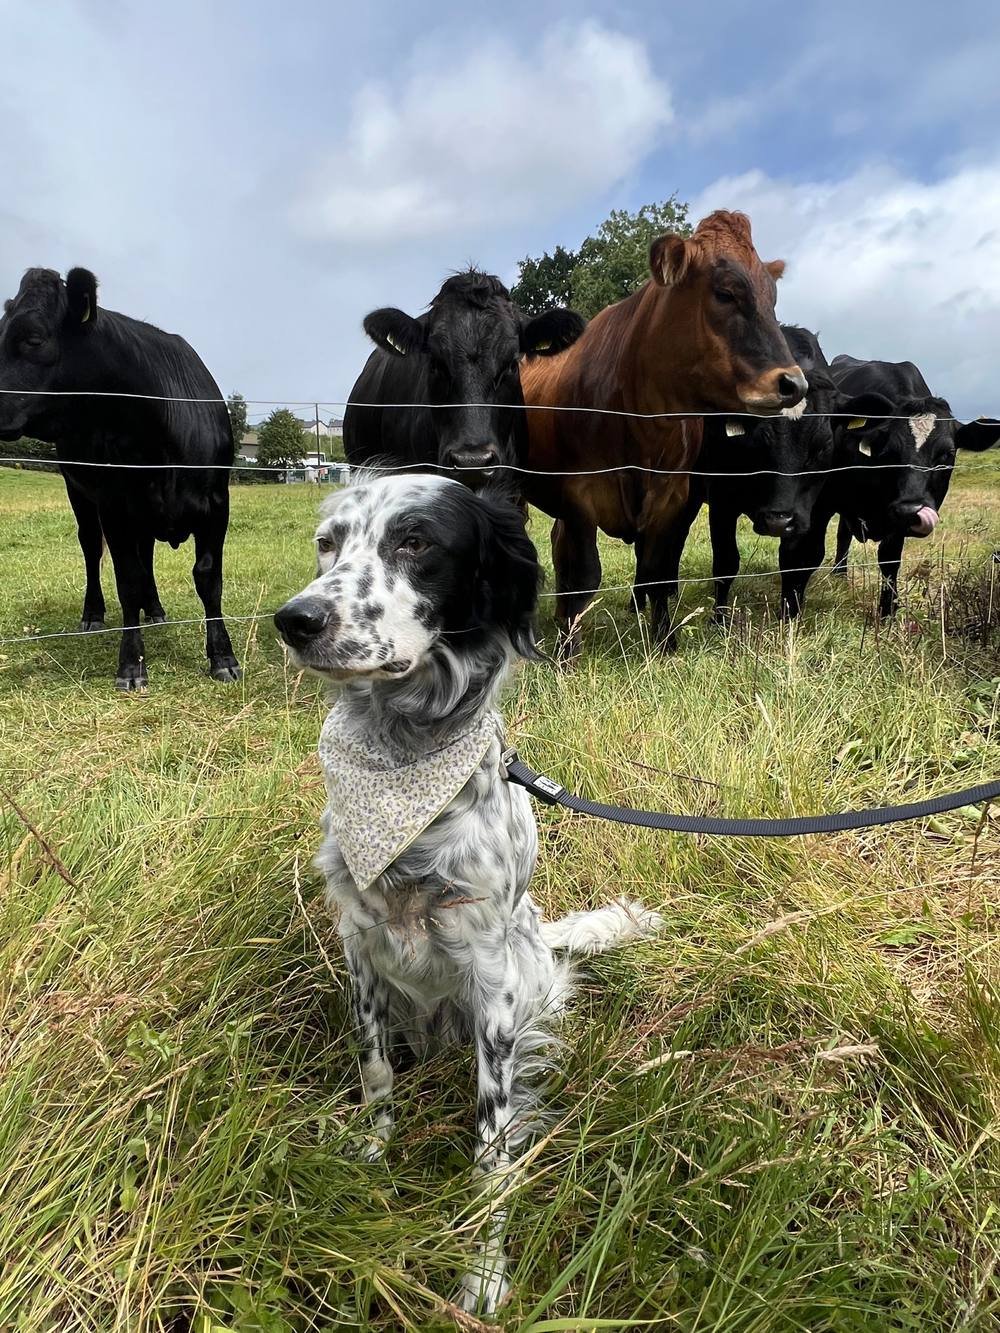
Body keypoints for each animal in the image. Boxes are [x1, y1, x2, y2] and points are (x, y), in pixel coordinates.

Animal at [0, 267, 239, 689]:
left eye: (33, 339)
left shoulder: (216, 504)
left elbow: (208, 578)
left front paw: (222, 657)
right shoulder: (115, 505)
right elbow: (127, 578)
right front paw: (131, 663)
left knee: (146, 555)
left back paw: (154, 607)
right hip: (78, 490)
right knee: (91, 548)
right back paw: (94, 613)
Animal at [518, 210, 807, 654]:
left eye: (771, 299)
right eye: (726, 293)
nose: (793, 383)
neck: (644, 428)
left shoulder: (673, 498)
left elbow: (657, 571)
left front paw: (662, 641)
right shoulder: (580, 497)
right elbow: (584, 576)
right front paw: (568, 652)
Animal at [780, 357, 1000, 620]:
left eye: (947, 454)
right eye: (890, 451)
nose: (911, 511)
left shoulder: (895, 520)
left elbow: (889, 559)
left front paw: (888, 613)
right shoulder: (820, 503)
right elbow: (807, 553)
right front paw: (790, 611)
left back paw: (840, 575)